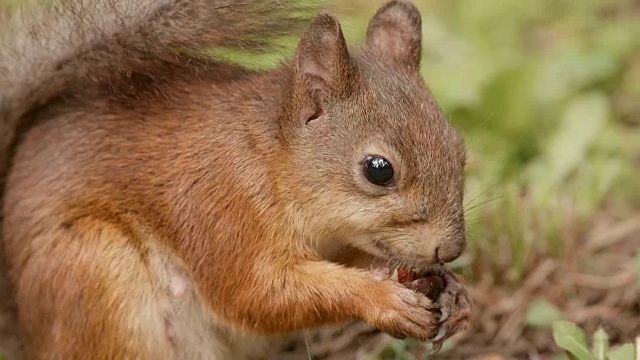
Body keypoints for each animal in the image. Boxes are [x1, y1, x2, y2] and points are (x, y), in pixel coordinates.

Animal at [0, 0, 470, 358]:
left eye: (460, 151)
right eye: (378, 169)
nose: (450, 250)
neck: (271, 160)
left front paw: (453, 292)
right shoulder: (224, 211)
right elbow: (257, 294)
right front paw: (381, 300)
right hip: (95, 272)